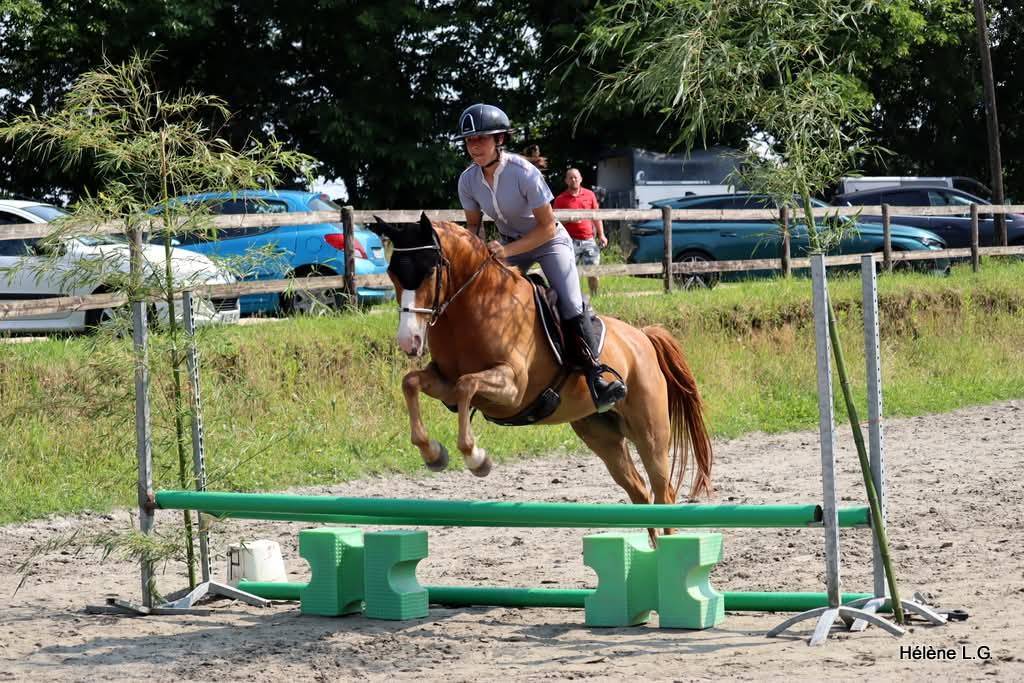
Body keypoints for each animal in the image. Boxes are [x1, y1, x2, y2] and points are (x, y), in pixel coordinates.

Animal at [369, 214, 713, 541]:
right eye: (392, 273)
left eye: (430, 271)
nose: (409, 341)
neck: (471, 307)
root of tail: (642, 336)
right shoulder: (444, 382)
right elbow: (411, 382)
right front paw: (433, 454)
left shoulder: (512, 388)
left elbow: (468, 385)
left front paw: (477, 459)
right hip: (600, 434)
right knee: (639, 491)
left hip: (650, 433)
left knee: (663, 491)